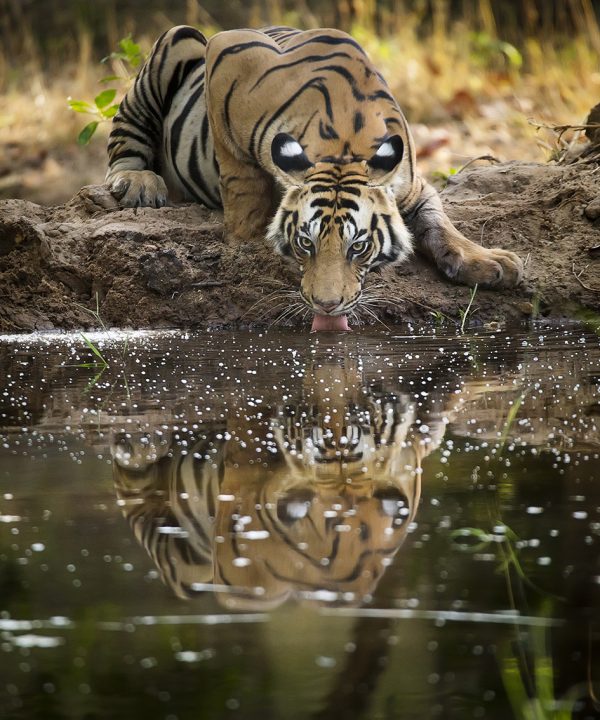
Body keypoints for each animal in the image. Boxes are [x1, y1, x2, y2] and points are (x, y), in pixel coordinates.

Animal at [105, 24, 524, 330]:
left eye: (359, 247)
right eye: (304, 243)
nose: (327, 305)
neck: (345, 143)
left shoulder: (409, 183)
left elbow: (439, 219)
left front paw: (487, 260)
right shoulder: (227, 52)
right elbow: (241, 180)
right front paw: (245, 238)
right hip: (179, 40)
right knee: (125, 139)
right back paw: (138, 183)